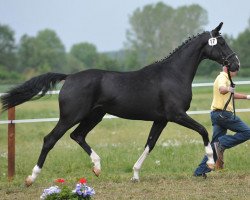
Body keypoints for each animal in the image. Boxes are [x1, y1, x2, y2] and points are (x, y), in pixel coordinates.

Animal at [0, 22, 238, 186]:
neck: (173, 74)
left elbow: (150, 144)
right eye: (222, 42)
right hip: (70, 116)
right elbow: (203, 130)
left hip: (94, 116)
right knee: (50, 139)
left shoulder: (161, 119)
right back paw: (31, 178)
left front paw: (135, 175)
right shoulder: (176, 115)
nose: (235, 64)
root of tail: (69, 77)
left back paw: (97, 167)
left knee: (78, 136)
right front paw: (210, 162)